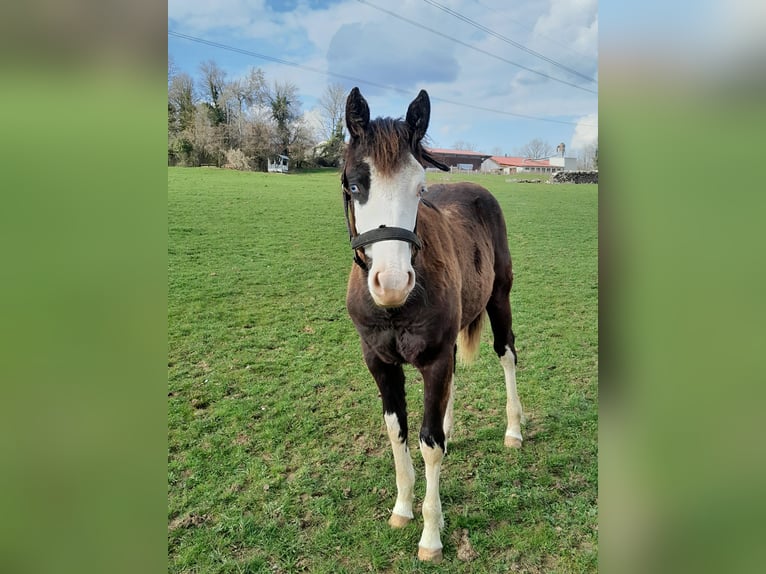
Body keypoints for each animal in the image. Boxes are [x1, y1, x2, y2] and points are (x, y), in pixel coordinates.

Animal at [341, 87, 523, 562]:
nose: (391, 283)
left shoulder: (434, 358)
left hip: (500, 298)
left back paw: (514, 430)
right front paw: (403, 508)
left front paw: (430, 534)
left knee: (507, 354)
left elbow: (428, 442)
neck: (394, 309)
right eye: (355, 184)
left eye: (420, 188)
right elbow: (398, 430)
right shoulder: (380, 362)